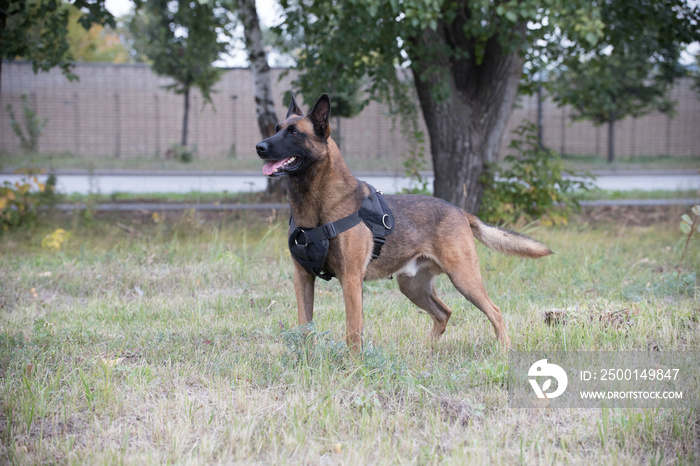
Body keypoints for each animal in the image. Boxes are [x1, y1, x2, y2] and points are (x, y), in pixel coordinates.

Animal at [256, 93, 552, 352]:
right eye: (276, 128)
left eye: (295, 133)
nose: (260, 147)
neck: (317, 204)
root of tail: (459, 210)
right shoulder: (303, 277)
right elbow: (304, 326)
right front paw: (305, 359)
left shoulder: (351, 280)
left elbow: (353, 332)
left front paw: (353, 367)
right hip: (412, 286)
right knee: (444, 313)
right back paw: (425, 350)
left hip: (464, 278)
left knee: (494, 311)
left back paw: (504, 350)